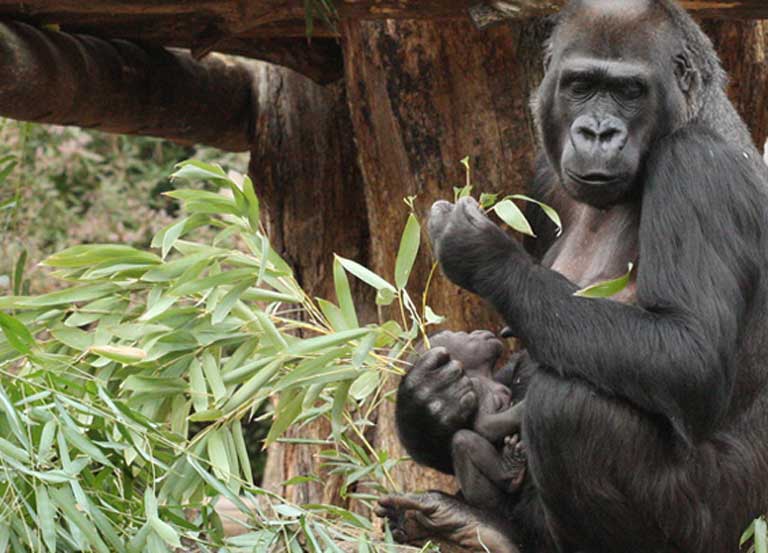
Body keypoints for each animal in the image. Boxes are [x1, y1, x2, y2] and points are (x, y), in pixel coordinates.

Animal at [424, 330, 524, 512]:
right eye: (460, 335)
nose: (474, 332)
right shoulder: (475, 385)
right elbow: (483, 424)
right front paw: (523, 408)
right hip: (494, 500)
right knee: (463, 440)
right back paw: (509, 471)